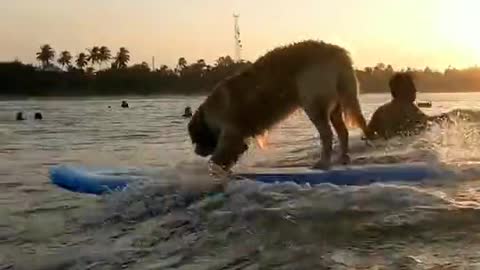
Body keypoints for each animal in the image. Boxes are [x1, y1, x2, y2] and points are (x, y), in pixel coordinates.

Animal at [188, 40, 372, 171]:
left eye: (195, 139)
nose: (197, 152)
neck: (209, 114)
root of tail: (338, 52)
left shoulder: (231, 131)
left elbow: (220, 154)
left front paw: (214, 168)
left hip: (313, 102)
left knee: (327, 134)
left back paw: (323, 162)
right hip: (337, 103)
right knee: (343, 131)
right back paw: (343, 158)